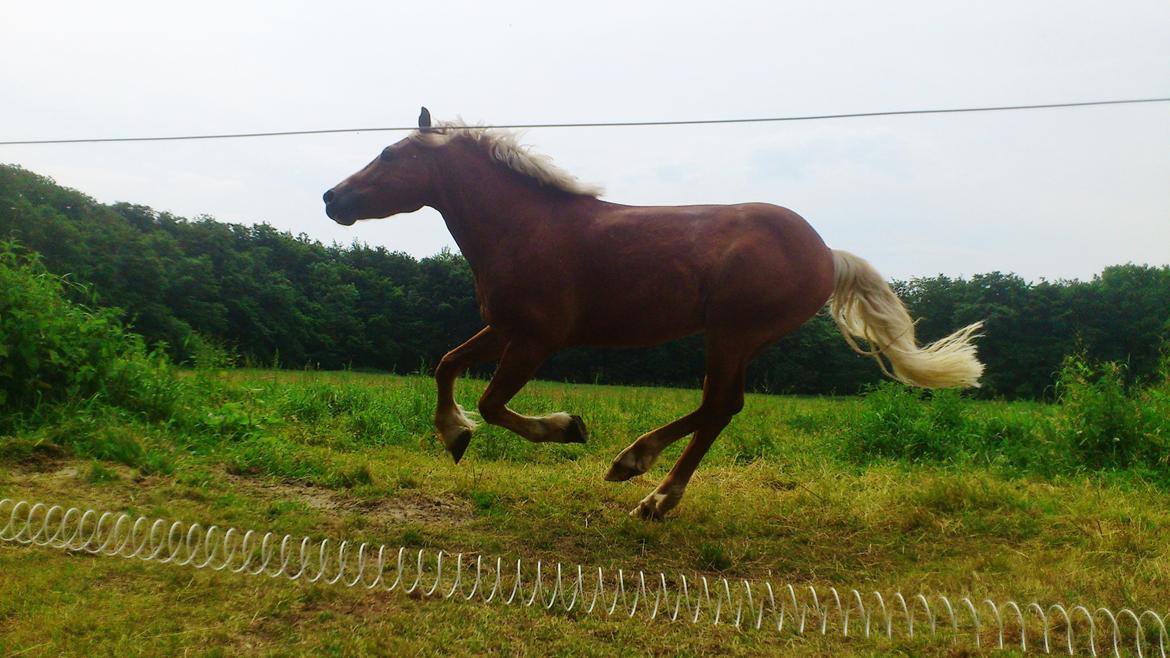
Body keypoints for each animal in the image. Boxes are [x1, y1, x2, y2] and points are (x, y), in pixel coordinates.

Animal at [318, 107, 978, 517]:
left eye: (388, 152)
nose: (331, 197)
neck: (526, 227)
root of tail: (828, 254)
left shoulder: (538, 338)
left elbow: (492, 402)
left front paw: (566, 428)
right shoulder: (504, 327)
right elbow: (446, 365)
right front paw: (455, 435)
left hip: (732, 333)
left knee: (720, 407)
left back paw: (638, 472)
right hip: (734, 339)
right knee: (720, 408)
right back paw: (647, 486)